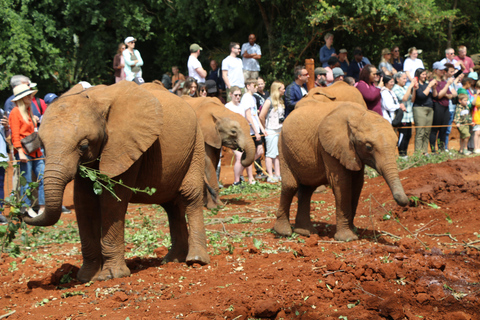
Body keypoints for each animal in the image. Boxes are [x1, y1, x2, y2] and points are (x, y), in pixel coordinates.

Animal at [23, 80, 209, 282]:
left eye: (84, 146)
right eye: (41, 145)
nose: (24, 214)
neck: (95, 100)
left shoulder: (124, 145)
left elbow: (111, 202)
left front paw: (111, 276)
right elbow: (84, 202)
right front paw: (87, 277)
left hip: (197, 143)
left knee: (190, 195)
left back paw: (196, 261)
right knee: (171, 206)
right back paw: (172, 260)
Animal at [274, 99, 408, 241]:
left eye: (396, 143)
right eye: (368, 147)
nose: (406, 202)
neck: (358, 115)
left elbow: (357, 184)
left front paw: (354, 230)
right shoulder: (329, 147)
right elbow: (342, 184)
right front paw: (347, 238)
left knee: (307, 189)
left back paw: (305, 232)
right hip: (283, 147)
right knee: (290, 186)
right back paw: (284, 232)